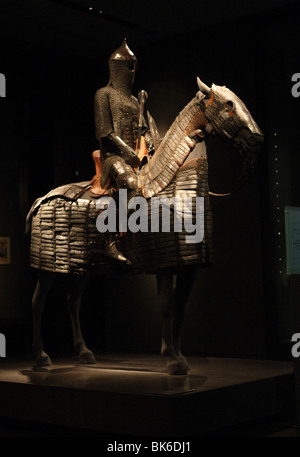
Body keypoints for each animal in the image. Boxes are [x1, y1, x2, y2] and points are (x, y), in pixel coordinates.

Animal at [27, 77, 264, 374]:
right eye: (228, 105)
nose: (257, 140)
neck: (168, 184)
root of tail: (41, 199)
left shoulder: (191, 267)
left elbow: (180, 306)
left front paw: (179, 357)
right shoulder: (164, 265)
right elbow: (165, 306)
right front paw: (172, 360)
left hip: (84, 267)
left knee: (73, 303)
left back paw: (84, 352)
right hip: (46, 267)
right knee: (38, 303)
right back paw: (40, 357)